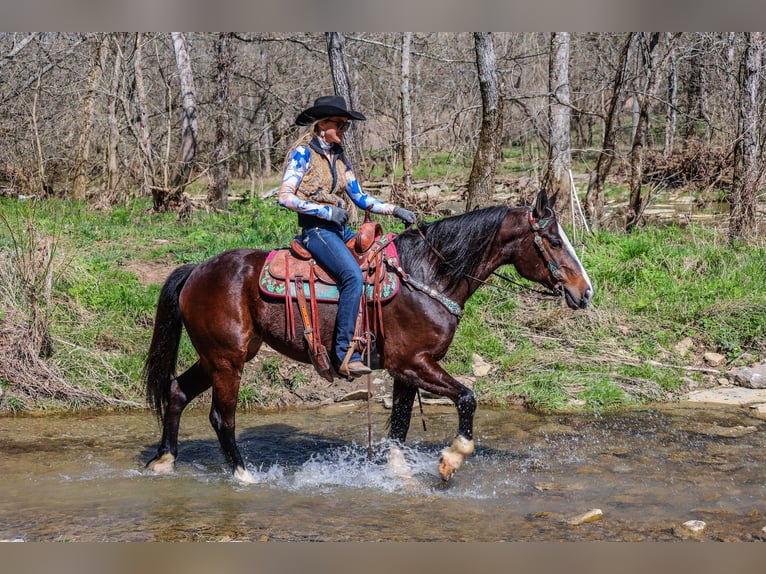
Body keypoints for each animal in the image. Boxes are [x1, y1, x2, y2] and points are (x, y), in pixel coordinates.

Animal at [144, 188, 592, 482]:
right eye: (554, 241)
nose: (585, 292)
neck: (430, 274)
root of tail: (197, 270)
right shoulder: (414, 363)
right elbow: (467, 398)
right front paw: (451, 459)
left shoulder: (406, 369)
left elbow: (400, 424)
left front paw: (396, 472)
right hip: (227, 361)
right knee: (222, 417)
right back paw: (243, 475)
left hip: (219, 357)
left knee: (177, 392)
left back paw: (164, 460)